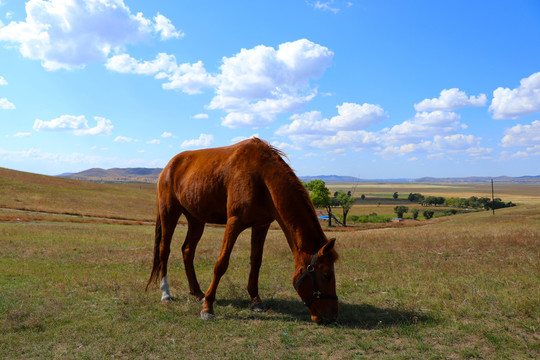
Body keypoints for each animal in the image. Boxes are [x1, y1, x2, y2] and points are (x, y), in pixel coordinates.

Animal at [146, 137, 340, 324]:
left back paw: (197, 293)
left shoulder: (261, 225)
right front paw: (208, 308)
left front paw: (256, 301)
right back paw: (166, 294)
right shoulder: (234, 223)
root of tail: (169, 166)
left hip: (196, 220)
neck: (262, 178)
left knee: (187, 251)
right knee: (164, 250)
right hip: (169, 212)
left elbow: (256, 262)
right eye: (327, 275)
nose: (331, 316)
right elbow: (221, 264)